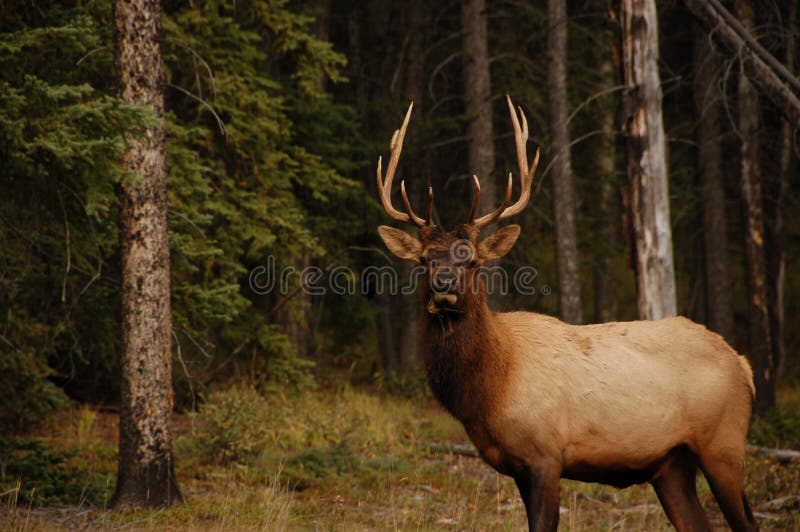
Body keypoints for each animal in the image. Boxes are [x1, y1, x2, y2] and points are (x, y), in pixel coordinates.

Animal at [374, 96, 756, 532]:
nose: (443, 286)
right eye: (423, 260)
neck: (491, 386)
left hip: (724, 444)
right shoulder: (518, 466)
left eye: (470, 260)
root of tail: (743, 365)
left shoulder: (545, 454)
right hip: (672, 465)